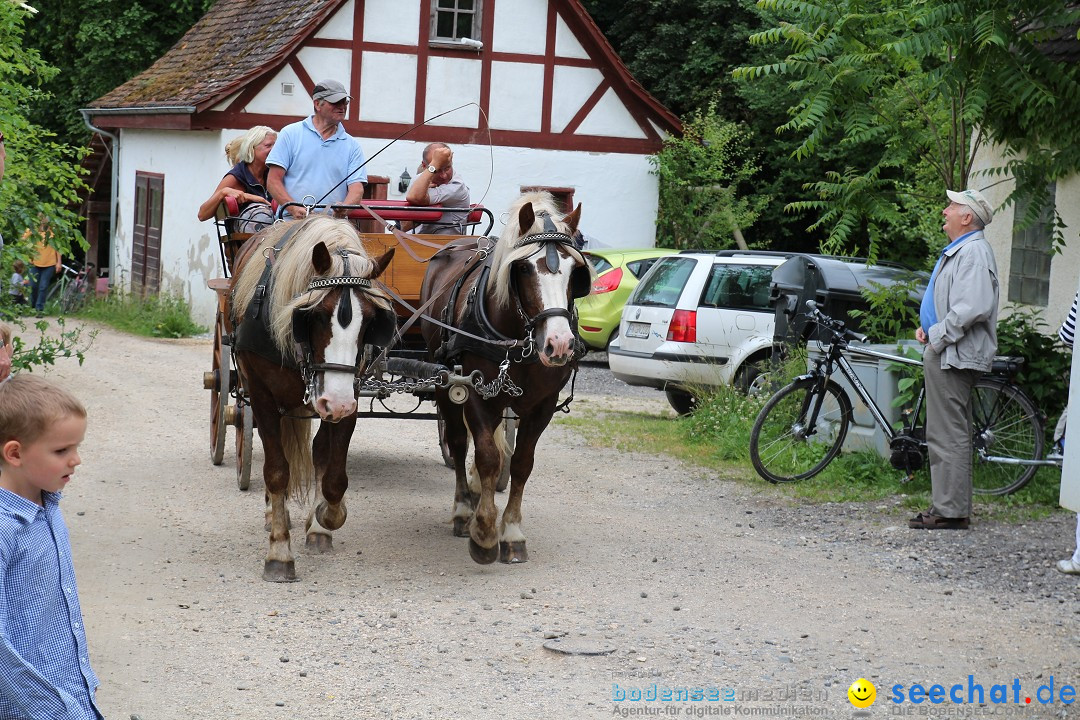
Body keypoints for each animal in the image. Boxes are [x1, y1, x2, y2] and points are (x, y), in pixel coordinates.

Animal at [227, 216, 397, 582]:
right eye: (316, 315)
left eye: (371, 320)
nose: (337, 402)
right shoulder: (261, 394)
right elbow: (277, 470)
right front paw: (279, 552)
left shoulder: (350, 394)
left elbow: (334, 477)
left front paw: (324, 518)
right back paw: (273, 515)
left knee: (319, 450)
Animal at [419, 194, 591, 565]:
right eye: (524, 268)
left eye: (575, 271)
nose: (559, 344)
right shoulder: (476, 394)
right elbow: (486, 455)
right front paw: (484, 532)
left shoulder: (542, 405)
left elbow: (522, 463)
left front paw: (511, 532)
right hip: (444, 383)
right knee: (458, 442)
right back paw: (462, 510)